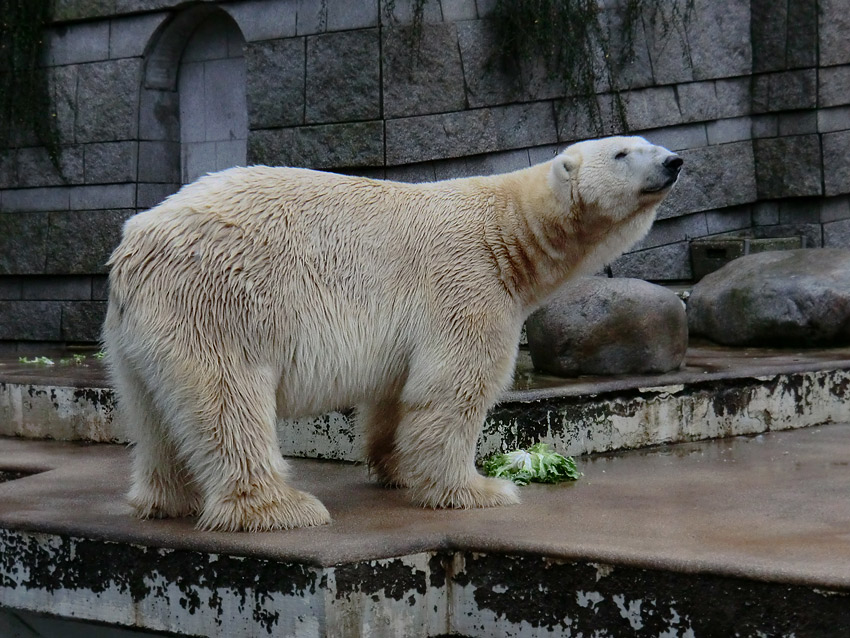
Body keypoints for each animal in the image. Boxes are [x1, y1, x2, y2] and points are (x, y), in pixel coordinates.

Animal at [101, 136, 684, 536]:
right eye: (623, 152)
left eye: (648, 142)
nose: (674, 161)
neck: (506, 232)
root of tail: (134, 247)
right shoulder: (465, 283)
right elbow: (453, 388)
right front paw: (479, 488)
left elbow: (397, 394)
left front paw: (398, 469)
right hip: (219, 303)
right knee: (228, 400)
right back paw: (282, 507)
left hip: (137, 333)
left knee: (152, 411)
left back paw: (165, 500)